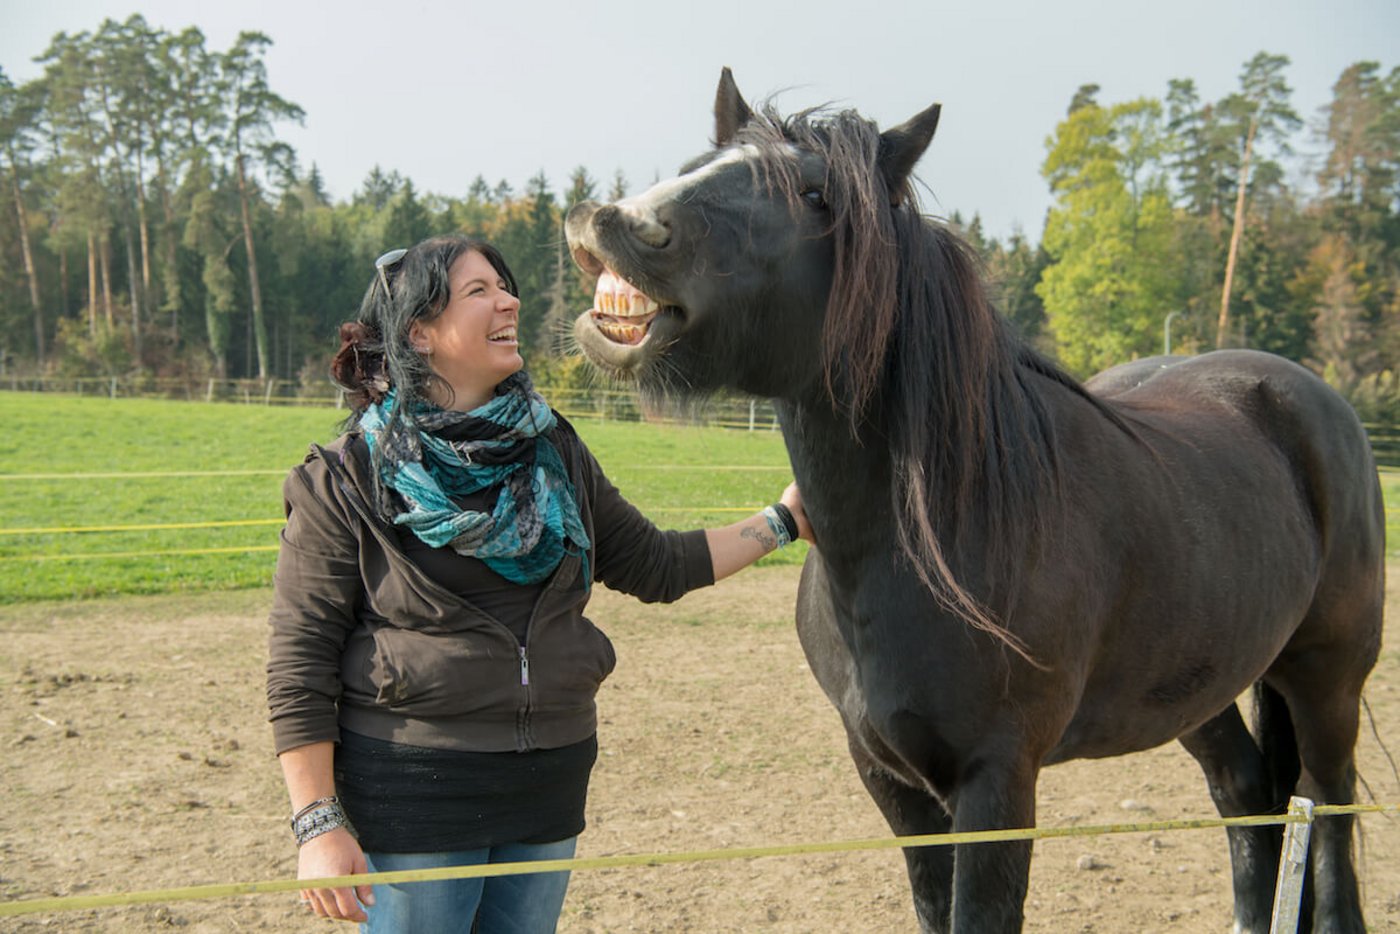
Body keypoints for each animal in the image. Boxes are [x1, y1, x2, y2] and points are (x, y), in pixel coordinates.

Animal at [564, 69, 1383, 933]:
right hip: (1201, 688)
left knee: (1327, 814)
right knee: (1246, 794)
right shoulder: (892, 782)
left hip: (1327, 680)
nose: (618, 223)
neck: (937, 537)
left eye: (818, 195)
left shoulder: (997, 784)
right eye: (702, 164)